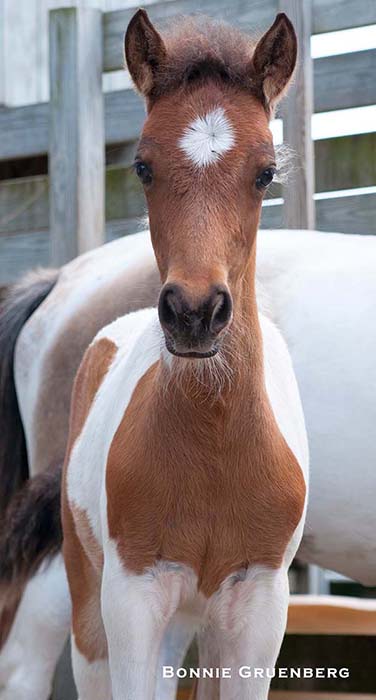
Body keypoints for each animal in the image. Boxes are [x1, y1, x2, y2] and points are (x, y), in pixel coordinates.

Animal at [62, 8, 308, 696]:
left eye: (265, 173)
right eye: (143, 166)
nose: (195, 314)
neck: (215, 448)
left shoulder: (259, 608)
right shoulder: (133, 600)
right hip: (93, 606)